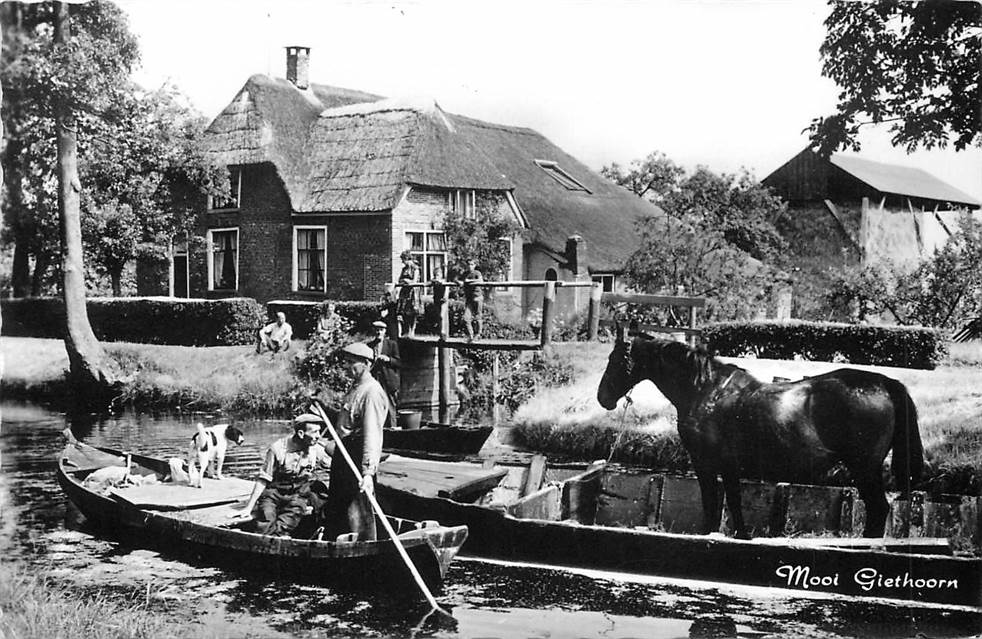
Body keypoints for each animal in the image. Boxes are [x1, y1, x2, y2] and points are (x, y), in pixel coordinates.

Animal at [596, 330, 928, 540]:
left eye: (615, 360)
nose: (603, 397)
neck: (706, 390)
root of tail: (885, 383)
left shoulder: (707, 464)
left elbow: (713, 503)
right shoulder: (728, 467)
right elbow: (733, 502)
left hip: (864, 467)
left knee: (878, 509)